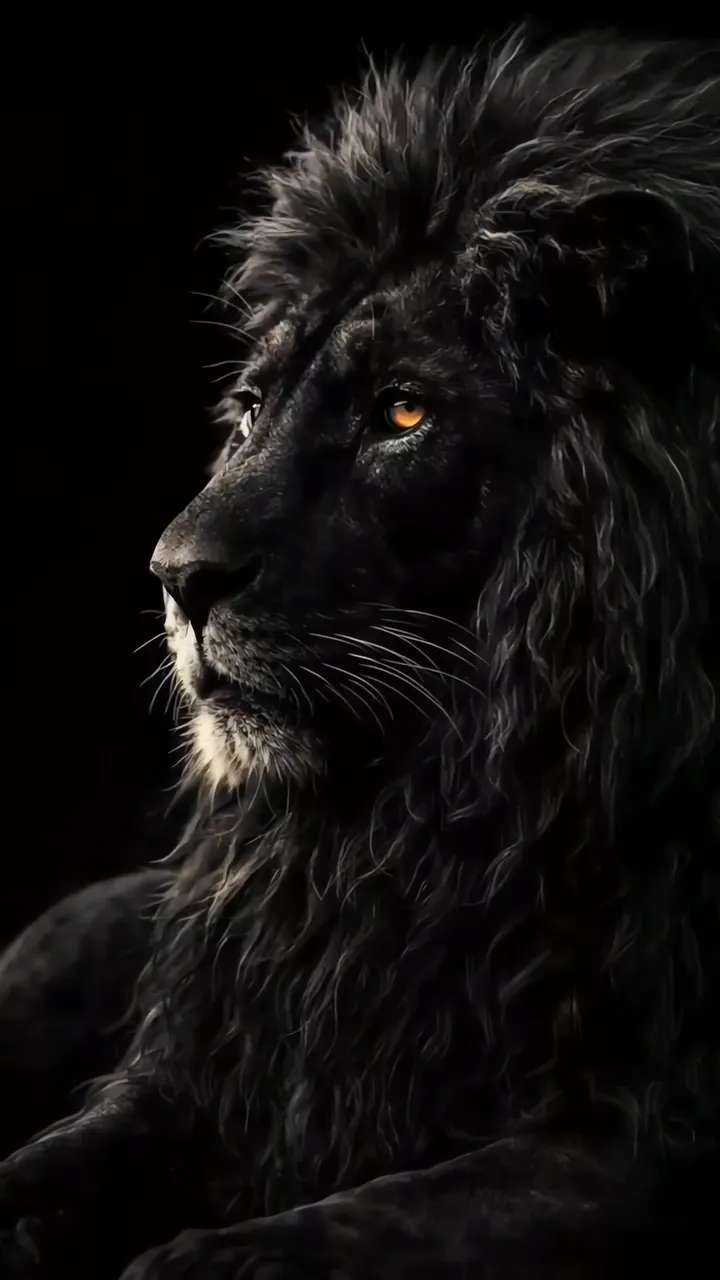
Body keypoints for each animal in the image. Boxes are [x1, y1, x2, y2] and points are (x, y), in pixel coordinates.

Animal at [1, 26, 719, 1279]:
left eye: (402, 412)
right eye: (249, 410)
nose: (174, 576)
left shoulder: (651, 1131)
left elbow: (361, 1224)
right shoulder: (223, 1054)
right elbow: (48, 1165)